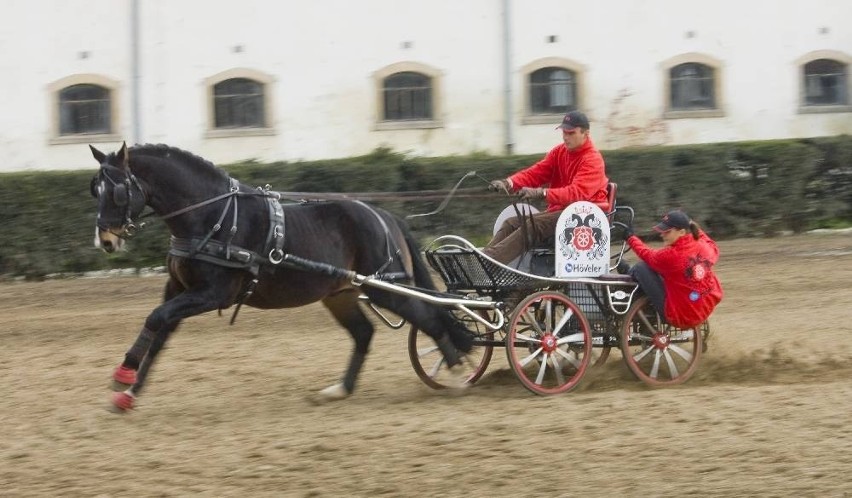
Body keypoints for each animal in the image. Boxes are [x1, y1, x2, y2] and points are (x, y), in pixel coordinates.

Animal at [90, 142, 476, 410]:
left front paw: (123, 374)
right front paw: (130, 390)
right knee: (364, 333)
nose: (105, 240)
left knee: (430, 317)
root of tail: (384, 215)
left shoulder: (213, 293)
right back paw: (340, 389)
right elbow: (160, 332)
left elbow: (156, 319)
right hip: (340, 294)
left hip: (388, 288)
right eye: (95, 189)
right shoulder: (177, 289)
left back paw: (458, 372)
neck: (214, 214)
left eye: (118, 191)